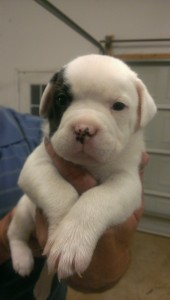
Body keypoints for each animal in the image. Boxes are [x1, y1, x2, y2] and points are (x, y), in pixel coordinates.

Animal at [7, 53, 157, 282]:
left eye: (119, 106)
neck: (88, 164)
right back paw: (22, 259)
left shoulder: (127, 181)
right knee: (14, 234)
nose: (84, 128)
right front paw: (61, 232)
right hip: (24, 211)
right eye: (61, 99)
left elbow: (97, 198)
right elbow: (60, 191)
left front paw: (71, 241)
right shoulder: (36, 164)